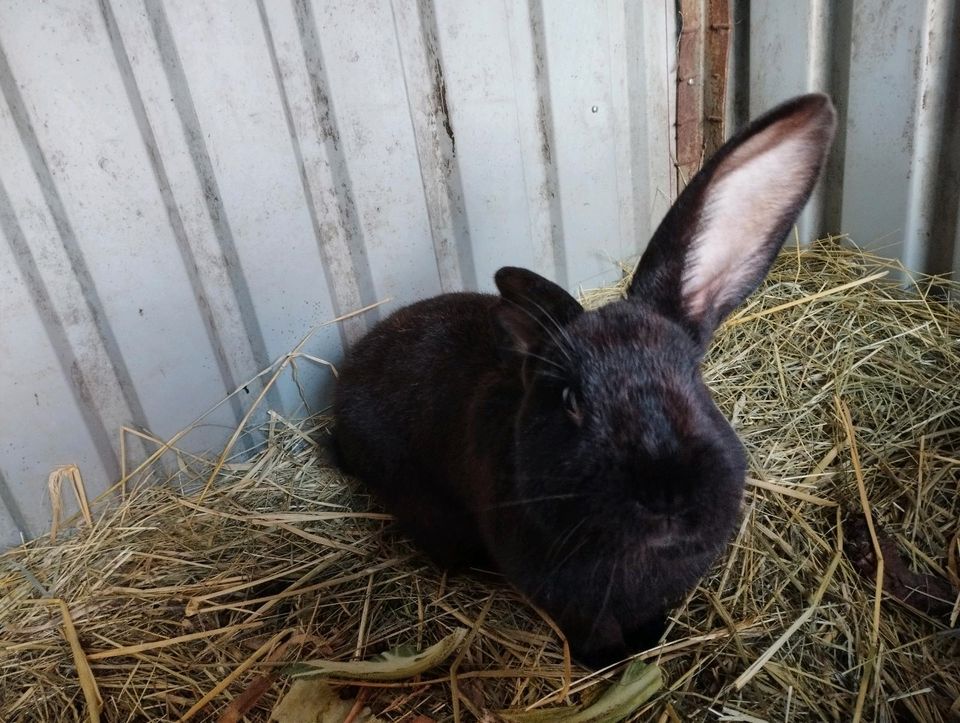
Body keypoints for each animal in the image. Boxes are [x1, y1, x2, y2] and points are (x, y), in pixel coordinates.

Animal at [334, 93, 836, 672]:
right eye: (571, 400)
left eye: (693, 381)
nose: (666, 493)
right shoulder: (567, 599)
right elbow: (593, 630)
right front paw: (610, 664)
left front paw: (649, 643)